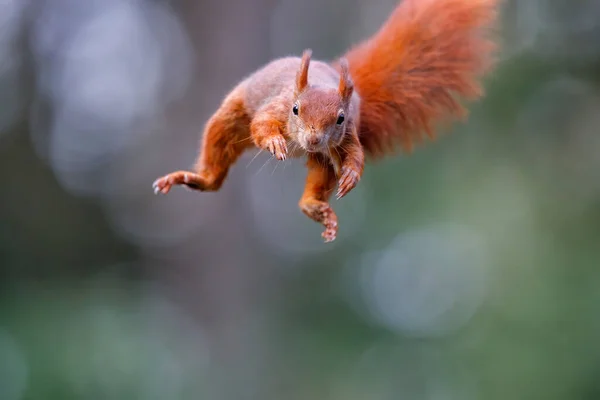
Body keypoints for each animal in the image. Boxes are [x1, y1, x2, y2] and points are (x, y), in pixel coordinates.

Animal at [152, 0, 500, 242]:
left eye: (341, 118)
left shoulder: (348, 136)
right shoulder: (275, 107)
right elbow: (262, 125)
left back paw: (315, 207)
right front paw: (275, 142)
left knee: (317, 182)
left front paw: (352, 175)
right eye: (295, 109)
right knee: (217, 156)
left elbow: (356, 154)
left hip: (323, 159)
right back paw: (196, 178)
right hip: (231, 120)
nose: (313, 139)